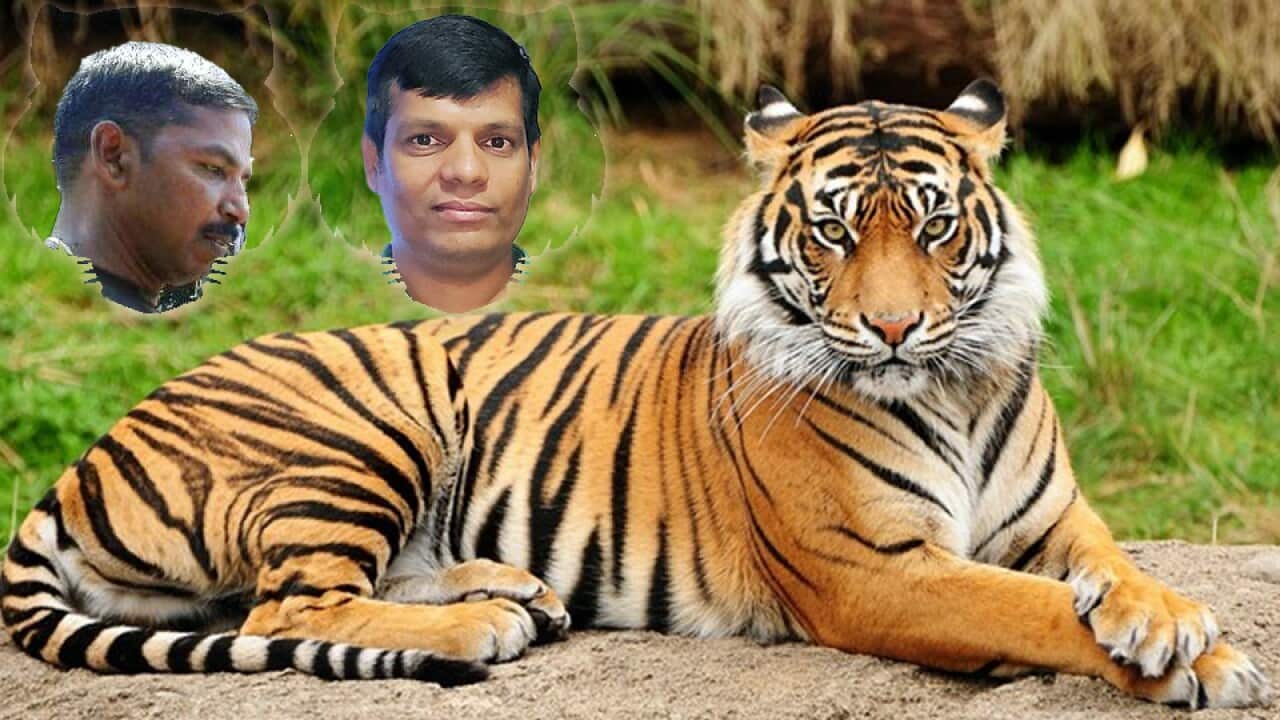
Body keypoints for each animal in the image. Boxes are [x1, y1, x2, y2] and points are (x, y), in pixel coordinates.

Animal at [2, 80, 1271, 708]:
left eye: (933, 227)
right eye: (831, 233)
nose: (893, 327)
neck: (951, 388)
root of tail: (89, 452)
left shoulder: (1056, 519)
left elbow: (1108, 574)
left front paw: (1171, 622)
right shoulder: (874, 570)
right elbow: (1027, 611)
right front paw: (1196, 662)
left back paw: (514, 591)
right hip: (362, 425)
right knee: (285, 607)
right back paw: (478, 623)